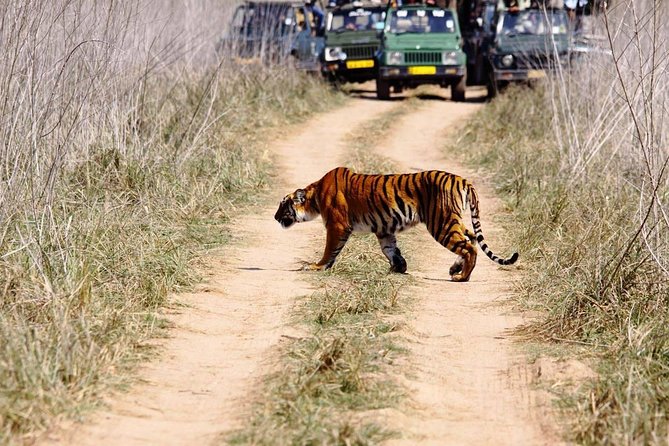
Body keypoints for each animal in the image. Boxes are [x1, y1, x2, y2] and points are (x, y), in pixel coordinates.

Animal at [274, 167, 518, 282]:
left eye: (282, 205)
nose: (275, 218)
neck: (314, 197)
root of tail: (463, 179)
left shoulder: (337, 225)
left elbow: (329, 250)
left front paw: (317, 266)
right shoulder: (384, 229)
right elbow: (390, 250)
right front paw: (399, 267)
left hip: (441, 223)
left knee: (469, 246)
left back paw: (462, 277)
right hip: (453, 220)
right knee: (472, 239)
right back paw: (455, 268)